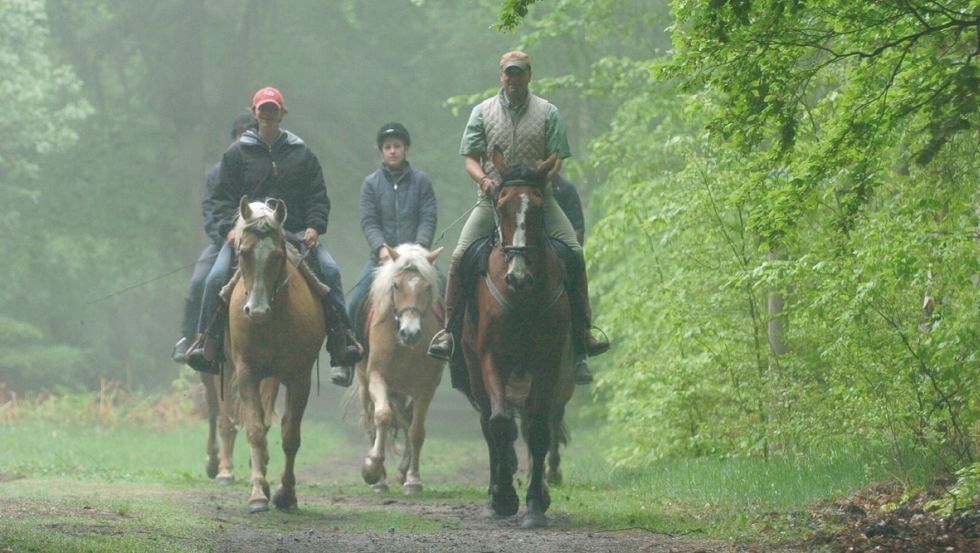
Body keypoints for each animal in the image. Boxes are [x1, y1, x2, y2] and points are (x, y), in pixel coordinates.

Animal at [216, 196, 328, 512]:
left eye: (277, 255)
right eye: (243, 252)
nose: (256, 311)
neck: (273, 323)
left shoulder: (299, 378)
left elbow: (290, 436)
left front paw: (286, 494)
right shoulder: (247, 374)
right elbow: (255, 430)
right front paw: (257, 494)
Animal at [352, 244, 444, 494]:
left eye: (427, 287)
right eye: (395, 285)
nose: (409, 333)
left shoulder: (427, 388)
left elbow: (416, 431)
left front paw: (413, 480)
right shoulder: (377, 377)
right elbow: (382, 417)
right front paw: (372, 469)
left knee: (406, 420)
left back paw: (403, 472)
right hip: (366, 384)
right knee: (372, 419)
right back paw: (381, 479)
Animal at [460, 149, 576, 528]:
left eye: (538, 207)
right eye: (501, 203)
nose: (517, 276)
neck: (525, 298)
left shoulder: (549, 363)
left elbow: (538, 429)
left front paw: (536, 504)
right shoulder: (490, 359)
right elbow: (499, 424)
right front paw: (504, 497)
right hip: (473, 370)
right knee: (489, 424)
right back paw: (495, 495)